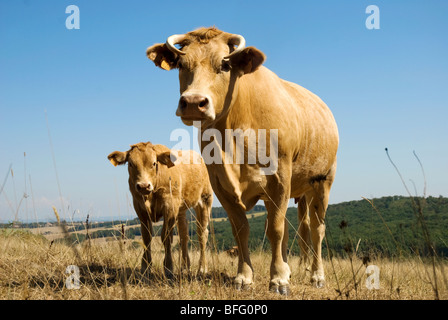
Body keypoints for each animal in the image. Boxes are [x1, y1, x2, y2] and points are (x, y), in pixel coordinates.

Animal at [108, 142, 214, 280]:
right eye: (130, 164)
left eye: (154, 163)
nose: (143, 186)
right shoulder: (140, 208)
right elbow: (146, 237)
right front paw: (146, 267)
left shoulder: (170, 207)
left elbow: (166, 236)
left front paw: (168, 268)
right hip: (181, 209)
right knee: (184, 235)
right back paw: (185, 267)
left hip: (205, 199)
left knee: (202, 233)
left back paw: (202, 268)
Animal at [147, 26, 340, 294]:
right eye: (182, 65)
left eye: (225, 64)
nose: (194, 102)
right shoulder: (220, 185)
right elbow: (242, 230)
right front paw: (245, 276)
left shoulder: (280, 178)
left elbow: (276, 230)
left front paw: (278, 279)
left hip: (323, 181)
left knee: (316, 229)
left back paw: (317, 275)